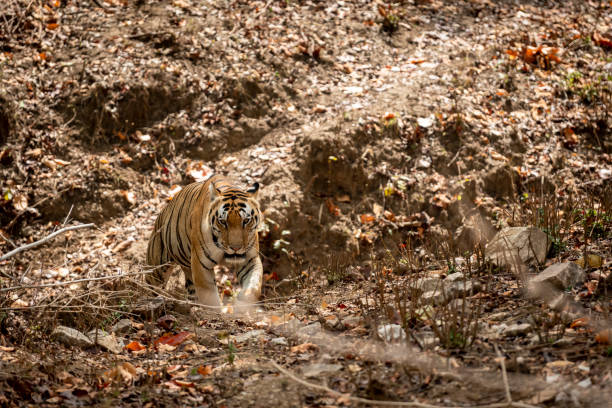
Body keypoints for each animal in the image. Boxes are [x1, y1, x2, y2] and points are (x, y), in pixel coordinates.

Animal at [149, 174, 266, 308]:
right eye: (223, 222)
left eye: (246, 220)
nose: (235, 248)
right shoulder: (201, 265)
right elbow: (210, 298)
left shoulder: (250, 260)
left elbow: (254, 286)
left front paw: (242, 303)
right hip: (157, 268)